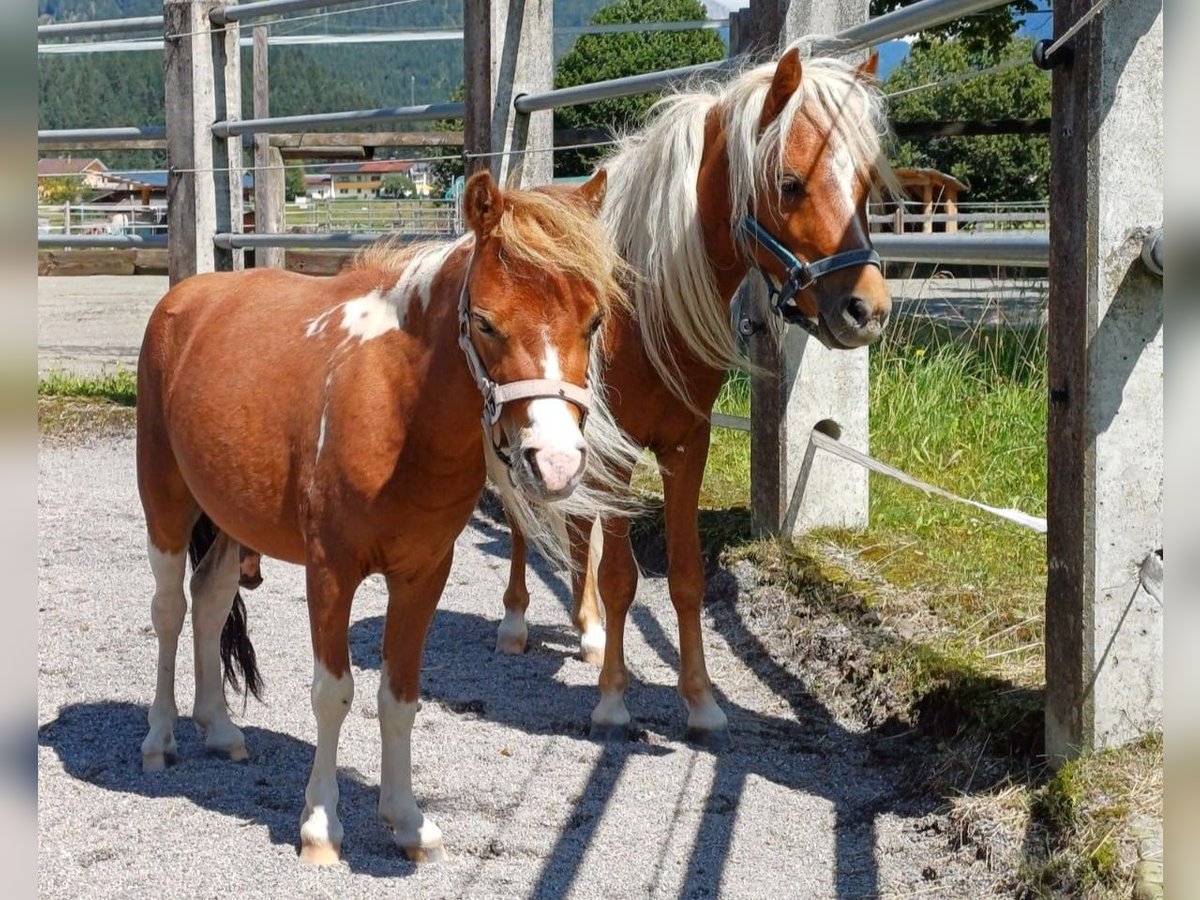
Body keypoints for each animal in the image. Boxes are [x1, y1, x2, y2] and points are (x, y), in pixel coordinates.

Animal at [135, 169, 633, 868]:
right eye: (486, 323)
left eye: (594, 321)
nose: (556, 463)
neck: (394, 404)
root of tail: (185, 299)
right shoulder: (330, 571)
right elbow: (333, 693)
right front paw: (320, 826)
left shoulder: (422, 575)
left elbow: (399, 698)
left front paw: (406, 822)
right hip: (167, 504)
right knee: (170, 612)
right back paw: (159, 739)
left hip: (231, 518)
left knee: (209, 601)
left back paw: (219, 728)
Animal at [496, 47, 902, 748]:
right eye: (789, 183)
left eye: (863, 186)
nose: (866, 310)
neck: (643, 300)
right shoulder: (616, 450)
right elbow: (622, 575)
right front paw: (613, 701)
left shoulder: (687, 443)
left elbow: (684, 577)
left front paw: (701, 702)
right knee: (526, 520)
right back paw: (518, 623)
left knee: (574, 526)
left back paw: (587, 628)